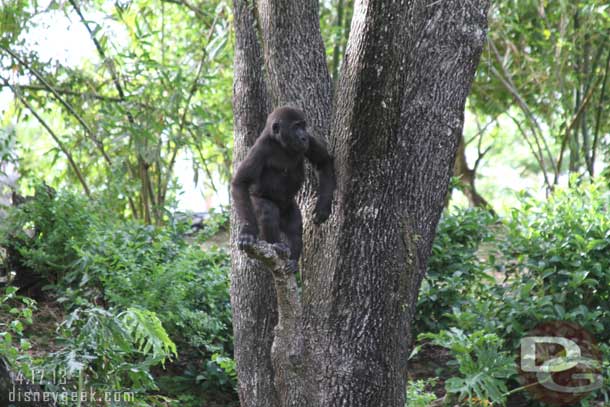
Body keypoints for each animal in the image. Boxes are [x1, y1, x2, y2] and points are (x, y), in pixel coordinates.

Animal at [230, 106, 334, 264]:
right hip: (255, 201)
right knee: (268, 211)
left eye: (303, 126)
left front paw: (323, 208)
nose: (303, 137)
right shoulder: (260, 148)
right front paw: (248, 231)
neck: (280, 143)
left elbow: (323, 162)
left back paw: (292, 260)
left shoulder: (309, 141)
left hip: (289, 207)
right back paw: (277, 245)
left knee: (294, 227)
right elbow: (241, 183)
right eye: (296, 127)